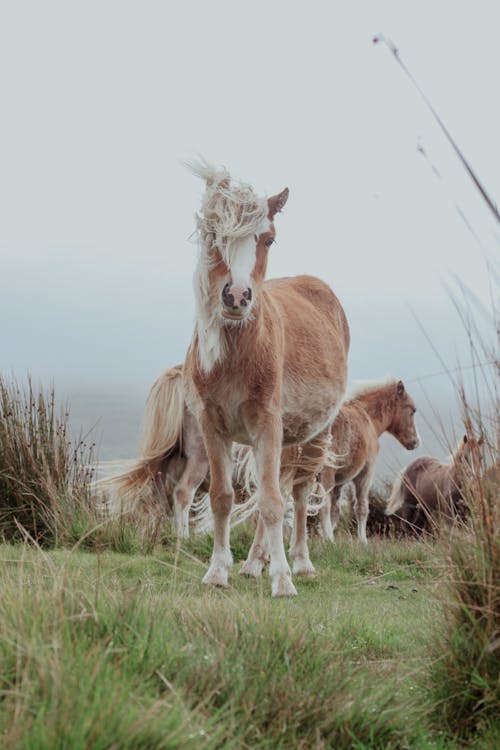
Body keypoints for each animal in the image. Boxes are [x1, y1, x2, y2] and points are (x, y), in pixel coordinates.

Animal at [182, 163, 350, 600]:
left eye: (268, 239)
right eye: (214, 235)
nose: (237, 297)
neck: (239, 356)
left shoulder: (268, 424)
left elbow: (275, 503)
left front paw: (283, 579)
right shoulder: (212, 424)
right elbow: (223, 498)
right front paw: (218, 570)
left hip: (314, 435)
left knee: (299, 492)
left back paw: (301, 563)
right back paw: (253, 563)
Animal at [318, 378, 420, 544]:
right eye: (412, 410)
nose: (416, 442)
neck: (367, 416)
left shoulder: (339, 482)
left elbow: (335, 511)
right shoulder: (366, 471)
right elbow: (361, 508)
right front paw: (363, 541)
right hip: (324, 471)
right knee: (323, 504)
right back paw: (330, 540)